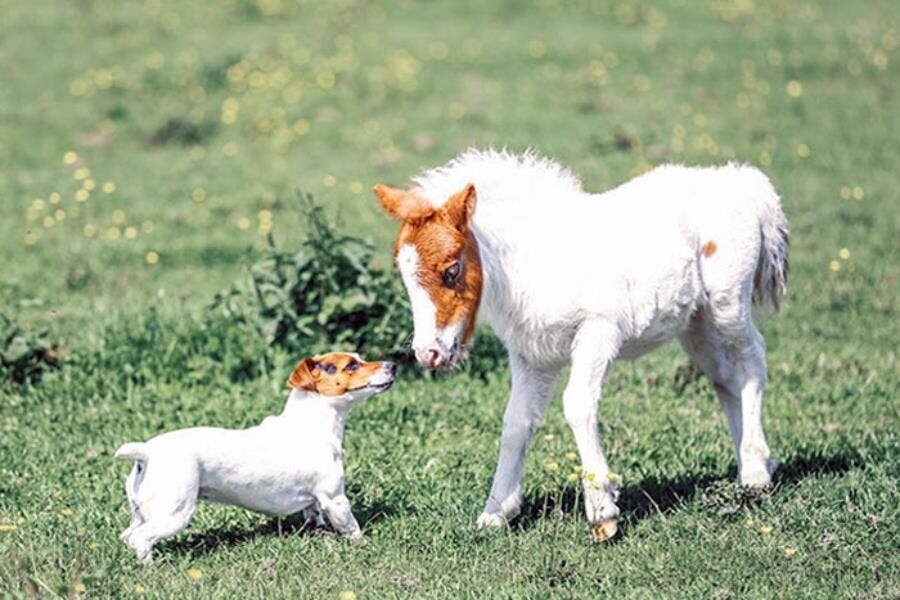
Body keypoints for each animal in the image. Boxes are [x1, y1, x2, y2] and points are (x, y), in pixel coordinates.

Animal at [114, 352, 396, 564]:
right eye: (351, 365)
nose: (393, 365)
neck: (313, 424)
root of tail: (147, 453)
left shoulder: (315, 502)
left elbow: (314, 518)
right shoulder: (335, 499)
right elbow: (351, 528)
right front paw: (366, 544)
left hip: (142, 511)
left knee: (128, 535)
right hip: (174, 513)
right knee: (141, 538)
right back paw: (151, 567)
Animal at [374, 149, 788, 540]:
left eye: (451, 270)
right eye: (405, 278)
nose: (429, 353)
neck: (534, 263)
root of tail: (744, 181)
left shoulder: (597, 333)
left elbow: (577, 405)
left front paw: (603, 512)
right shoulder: (532, 357)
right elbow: (516, 421)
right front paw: (497, 512)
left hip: (726, 304)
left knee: (753, 359)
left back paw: (755, 472)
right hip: (696, 326)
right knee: (726, 379)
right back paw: (752, 467)